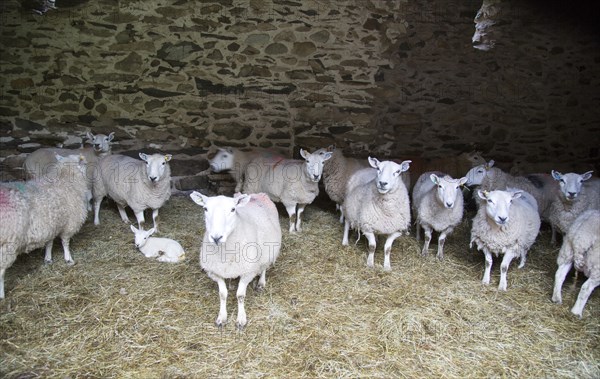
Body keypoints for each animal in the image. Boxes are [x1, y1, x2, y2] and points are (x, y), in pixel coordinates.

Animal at [0, 154, 88, 300]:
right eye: (84, 164)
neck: (64, 179)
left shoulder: (50, 225)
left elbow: (49, 243)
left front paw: (48, 258)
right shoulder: (69, 224)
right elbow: (65, 242)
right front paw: (68, 259)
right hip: (6, 244)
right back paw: (1, 295)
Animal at [191, 193, 282, 330]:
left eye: (233, 209)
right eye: (205, 208)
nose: (216, 238)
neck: (225, 252)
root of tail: (257, 194)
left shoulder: (247, 271)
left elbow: (240, 296)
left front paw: (241, 319)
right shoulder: (215, 272)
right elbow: (222, 294)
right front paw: (222, 317)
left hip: (268, 251)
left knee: (264, 268)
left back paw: (261, 283)